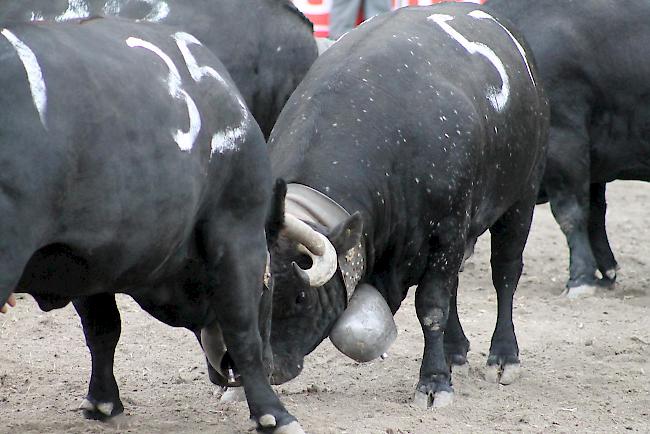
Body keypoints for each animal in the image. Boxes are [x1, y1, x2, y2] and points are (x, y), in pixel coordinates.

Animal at [0, 17, 302, 434]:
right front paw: (273, 412)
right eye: (269, 282)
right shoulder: (236, 228)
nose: (274, 368)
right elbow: (243, 330)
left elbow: (102, 327)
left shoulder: (89, 256)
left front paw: (103, 402)